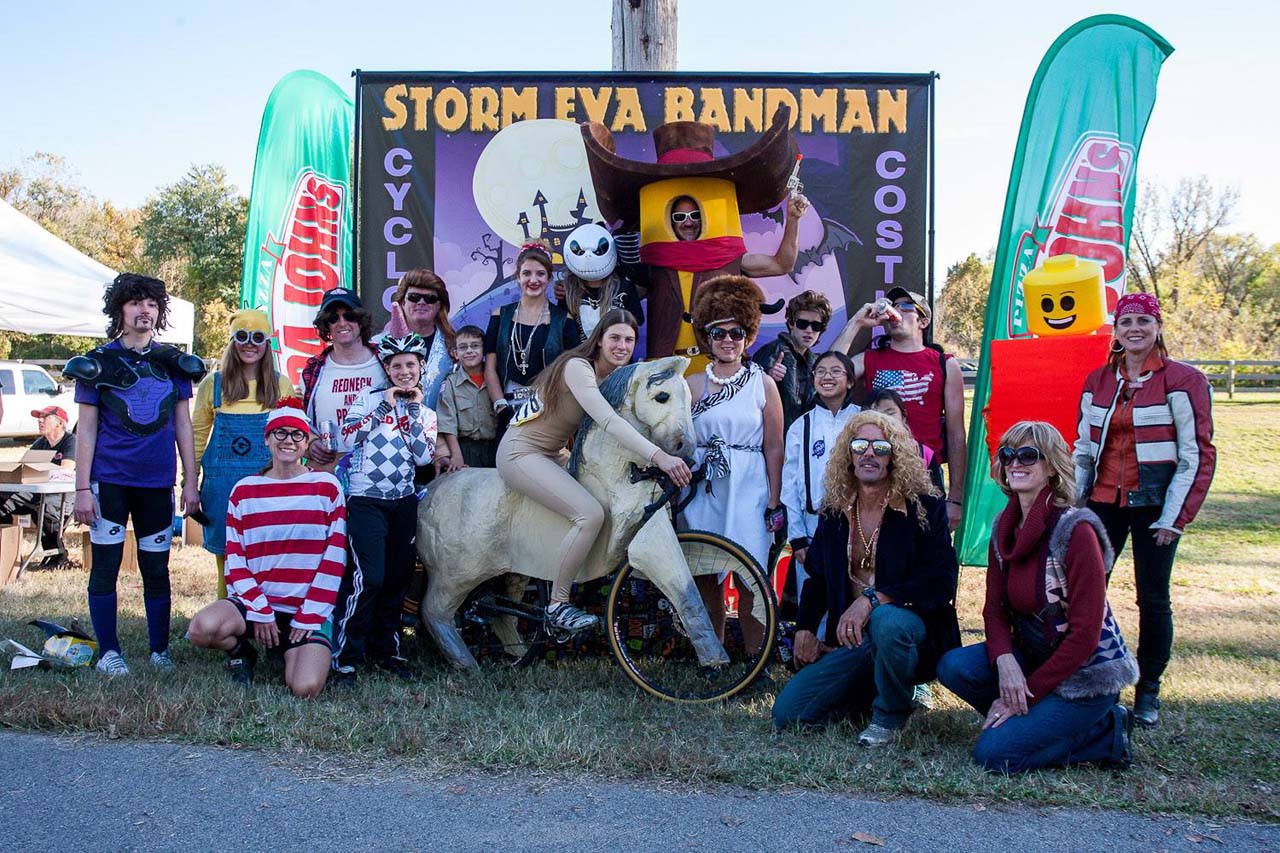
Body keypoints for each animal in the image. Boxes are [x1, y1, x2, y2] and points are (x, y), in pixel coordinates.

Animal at [414, 356, 727, 666]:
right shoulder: (643, 542)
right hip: (456, 575)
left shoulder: (653, 530)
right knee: (436, 612)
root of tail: (429, 492)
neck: (618, 478)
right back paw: (469, 663)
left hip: (509, 569)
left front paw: (715, 658)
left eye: (689, 396)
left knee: (499, 613)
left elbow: (687, 589)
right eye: (662, 396)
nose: (685, 450)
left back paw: (515, 655)